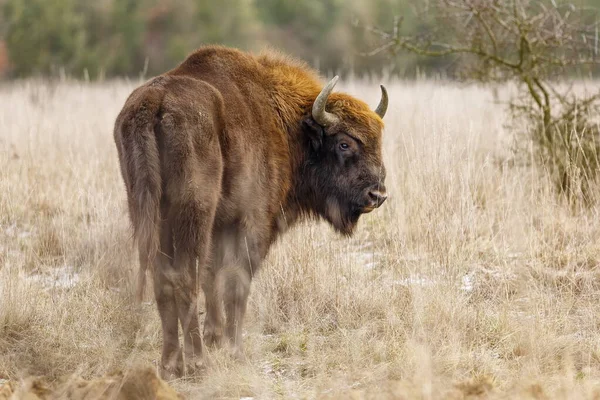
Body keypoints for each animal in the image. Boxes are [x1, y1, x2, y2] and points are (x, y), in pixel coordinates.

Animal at [113, 45, 390, 376]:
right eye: (345, 143)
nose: (377, 194)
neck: (287, 124)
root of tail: (156, 101)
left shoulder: (220, 226)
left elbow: (213, 275)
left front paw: (217, 337)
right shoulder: (251, 223)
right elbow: (236, 282)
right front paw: (235, 350)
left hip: (149, 211)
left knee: (163, 277)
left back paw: (171, 363)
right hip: (194, 210)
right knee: (184, 276)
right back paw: (198, 361)